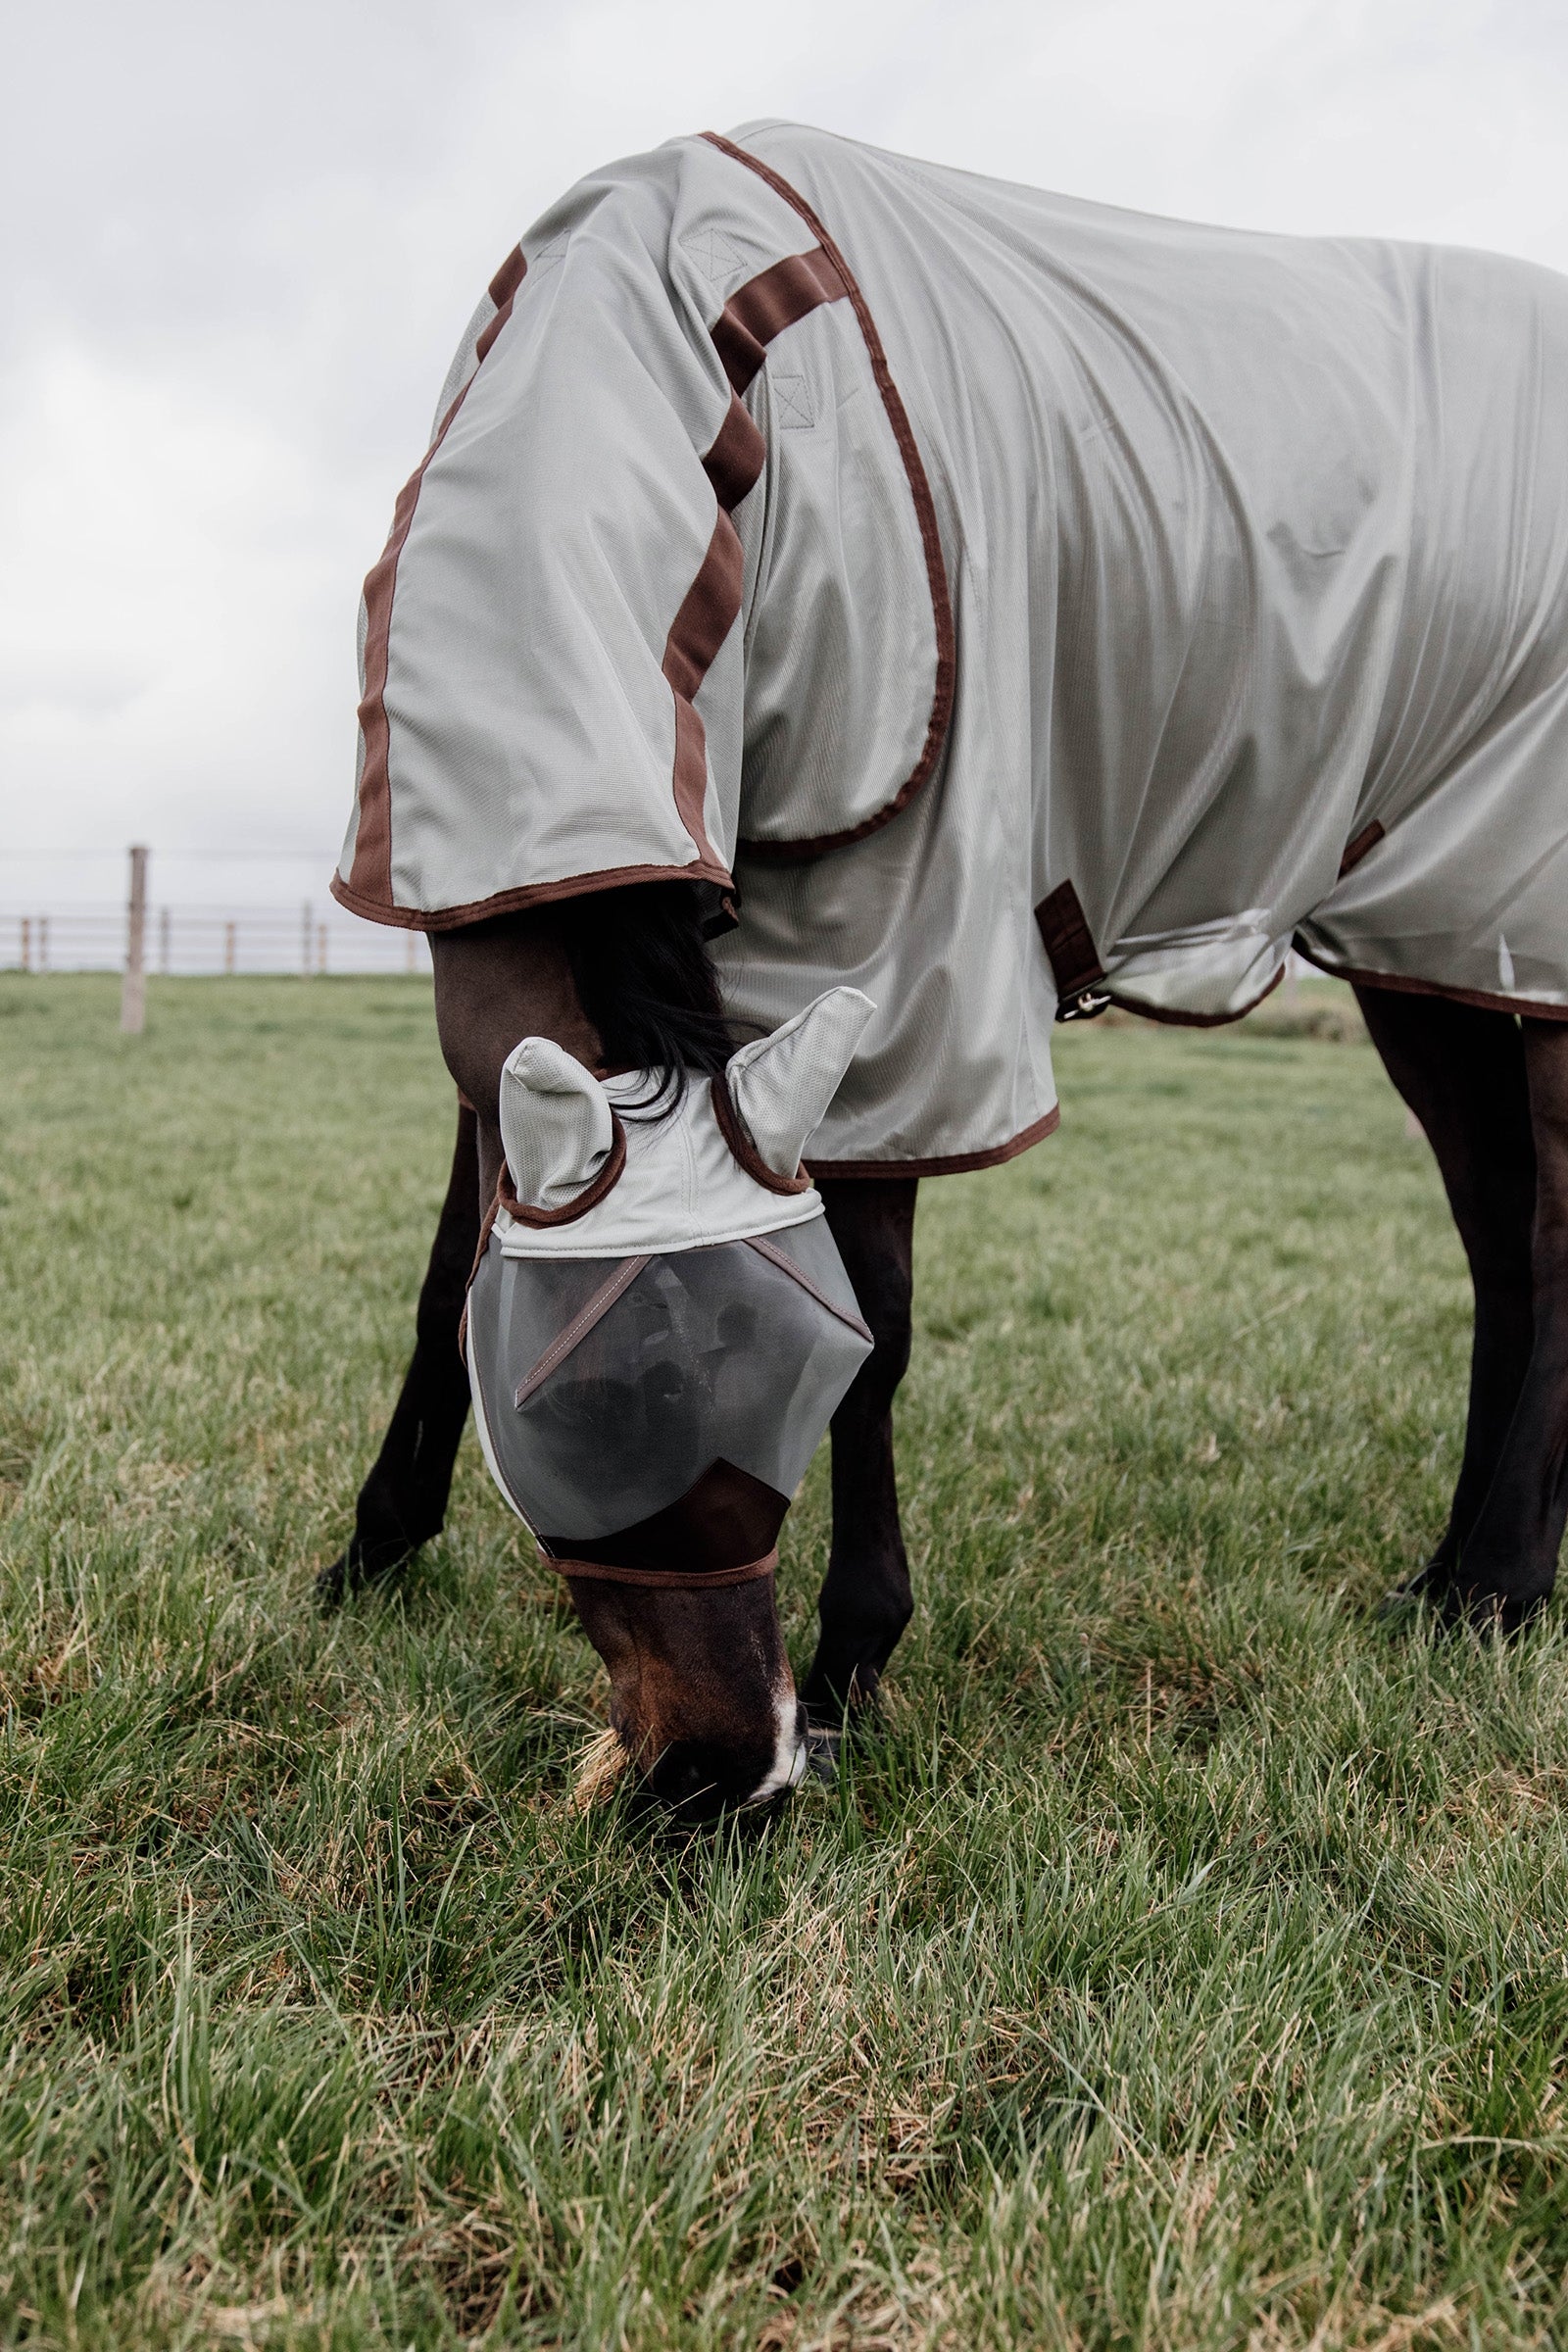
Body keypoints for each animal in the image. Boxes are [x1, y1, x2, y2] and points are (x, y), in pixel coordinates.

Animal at [319, 123, 1568, 1813]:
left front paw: (859, 1657)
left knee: (1551, 1244)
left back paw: (1495, 1588)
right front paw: (371, 1557)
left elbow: (891, 1320)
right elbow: (449, 1272)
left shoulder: (909, 955)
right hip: (1436, 960)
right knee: (1504, 1237)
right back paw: (1456, 1582)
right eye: (574, 1404)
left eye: (803, 1363)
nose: (731, 1780)